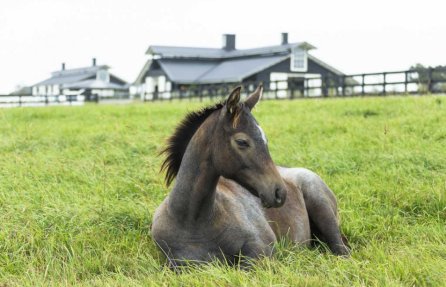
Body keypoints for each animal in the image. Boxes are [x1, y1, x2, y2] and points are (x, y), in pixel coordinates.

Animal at [152, 86, 350, 268]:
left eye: (266, 140)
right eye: (242, 141)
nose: (279, 193)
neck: (192, 221)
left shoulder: (261, 249)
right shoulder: (176, 264)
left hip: (322, 209)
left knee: (341, 250)